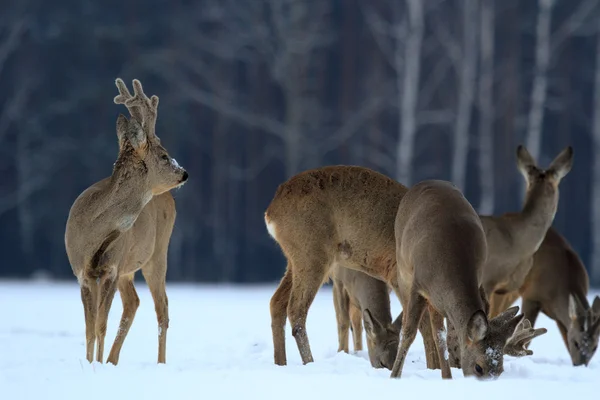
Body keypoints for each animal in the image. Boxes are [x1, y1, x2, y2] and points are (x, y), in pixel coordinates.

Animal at [65, 78, 188, 366]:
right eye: (164, 155)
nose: (184, 172)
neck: (93, 235)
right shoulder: (83, 272)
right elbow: (89, 328)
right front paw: (91, 363)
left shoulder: (111, 267)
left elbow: (100, 325)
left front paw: (96, 365)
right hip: (129, 268)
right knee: (134, 303)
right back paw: (113, 359)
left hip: (158, 252)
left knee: (162, 307)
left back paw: (160, 363)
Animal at [268, 166, 440, 368]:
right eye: (382, 362)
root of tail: (271, 211)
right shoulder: (399, 276)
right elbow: (425, 327)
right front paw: (434, 368)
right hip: (311, 254)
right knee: (296, 310)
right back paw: (310, 362)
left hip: (295, 261)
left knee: (276, 302)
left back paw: (280, 363)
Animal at [390, 180, 524, 380]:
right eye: (478, 367)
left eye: (500, 370)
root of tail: (425, 182)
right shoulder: (417, 285)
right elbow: (408, 333)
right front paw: (393, 376)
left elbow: (443, 336)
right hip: (403, 267)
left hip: (434, 298)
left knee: (439, 333)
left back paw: (446, 376)